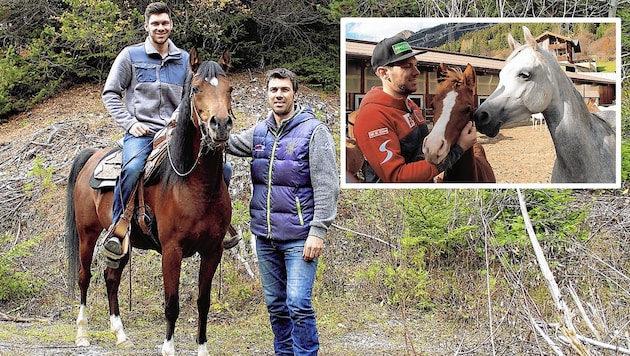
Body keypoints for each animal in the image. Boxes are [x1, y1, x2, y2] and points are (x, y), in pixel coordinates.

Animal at [66, 48, 235, 354]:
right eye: (196, 88)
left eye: (230, 89)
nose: (220, 125)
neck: (194, 186)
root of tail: (93, 155)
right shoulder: (172, 250)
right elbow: (171, 304)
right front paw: (168, 348)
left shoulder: (213, 250)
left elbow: (203, 303)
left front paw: (202, 348)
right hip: (87, 234)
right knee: (85, 278)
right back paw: (82, 334)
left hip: (122, 241)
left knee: (111, 278)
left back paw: (121, 334)